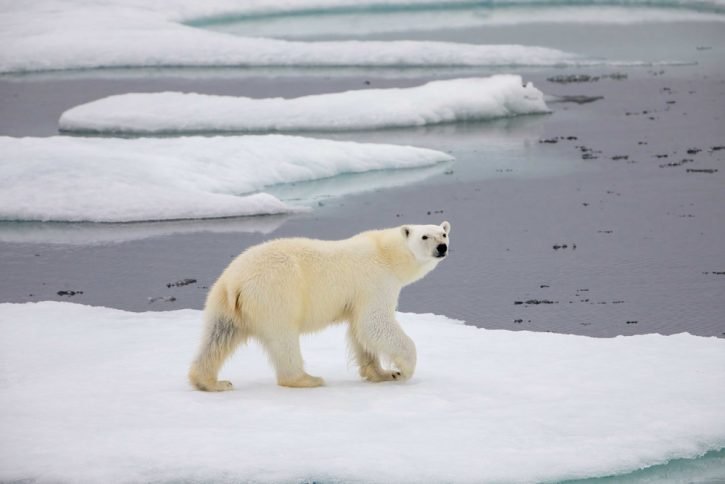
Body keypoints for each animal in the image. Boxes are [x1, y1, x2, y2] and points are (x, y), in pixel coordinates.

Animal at [188, 221, 450, 391]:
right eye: (425, 236)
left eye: (443, 233)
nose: (442, 248)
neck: (385, 252)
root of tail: (236, 281)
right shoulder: (374, 282)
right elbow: (374, 323)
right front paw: (404, 370)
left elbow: (360, 332)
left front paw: (384, 373)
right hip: (276, 293)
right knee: (283, 338)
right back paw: (307, 379)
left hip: (222, 301)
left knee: (218, 335)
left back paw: (211, 382)